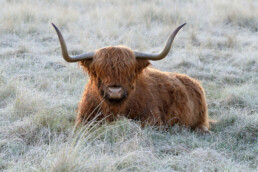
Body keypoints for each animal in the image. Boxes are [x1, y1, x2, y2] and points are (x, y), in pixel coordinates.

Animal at [53, 23, 212, 133]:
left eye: (128, 71)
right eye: (100, 70)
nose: (115, 91)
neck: (114, 108)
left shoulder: (153, 120)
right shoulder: (83, 120)